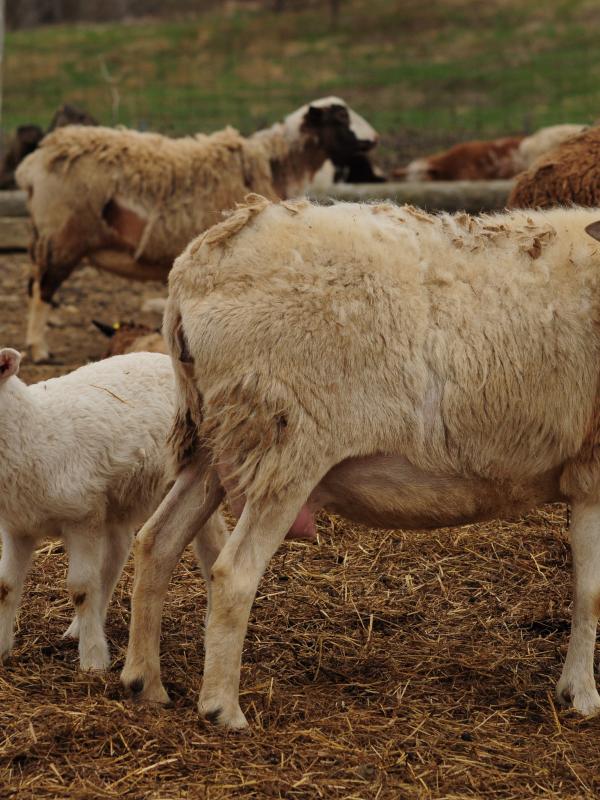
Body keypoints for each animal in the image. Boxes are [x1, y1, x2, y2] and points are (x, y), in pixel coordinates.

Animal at [0, 349, 227, 671]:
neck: (34, 431)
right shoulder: (17, 527)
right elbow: (6, 587)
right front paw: (1, 648)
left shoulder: (81, 518)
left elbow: (81, 589)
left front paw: (93, 660)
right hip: (120, 501)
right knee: (116, 555)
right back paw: (80, 627)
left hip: (196, 475)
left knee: (213, 546)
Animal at [15, 97, 378, 364]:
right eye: (339, 118)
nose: (374, 139)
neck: (277, 165)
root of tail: (32, 166)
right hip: (61, 236)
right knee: (42, 289)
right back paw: (39, 349)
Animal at [121, 194, 600, 729]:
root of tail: (195, 267)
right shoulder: (593, 471)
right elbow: (591, 591)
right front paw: (582, 694)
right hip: (288, 445)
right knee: (233, 573)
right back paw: (223, 707)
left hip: (217, 437)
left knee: (156, 542)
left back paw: (145, 681)